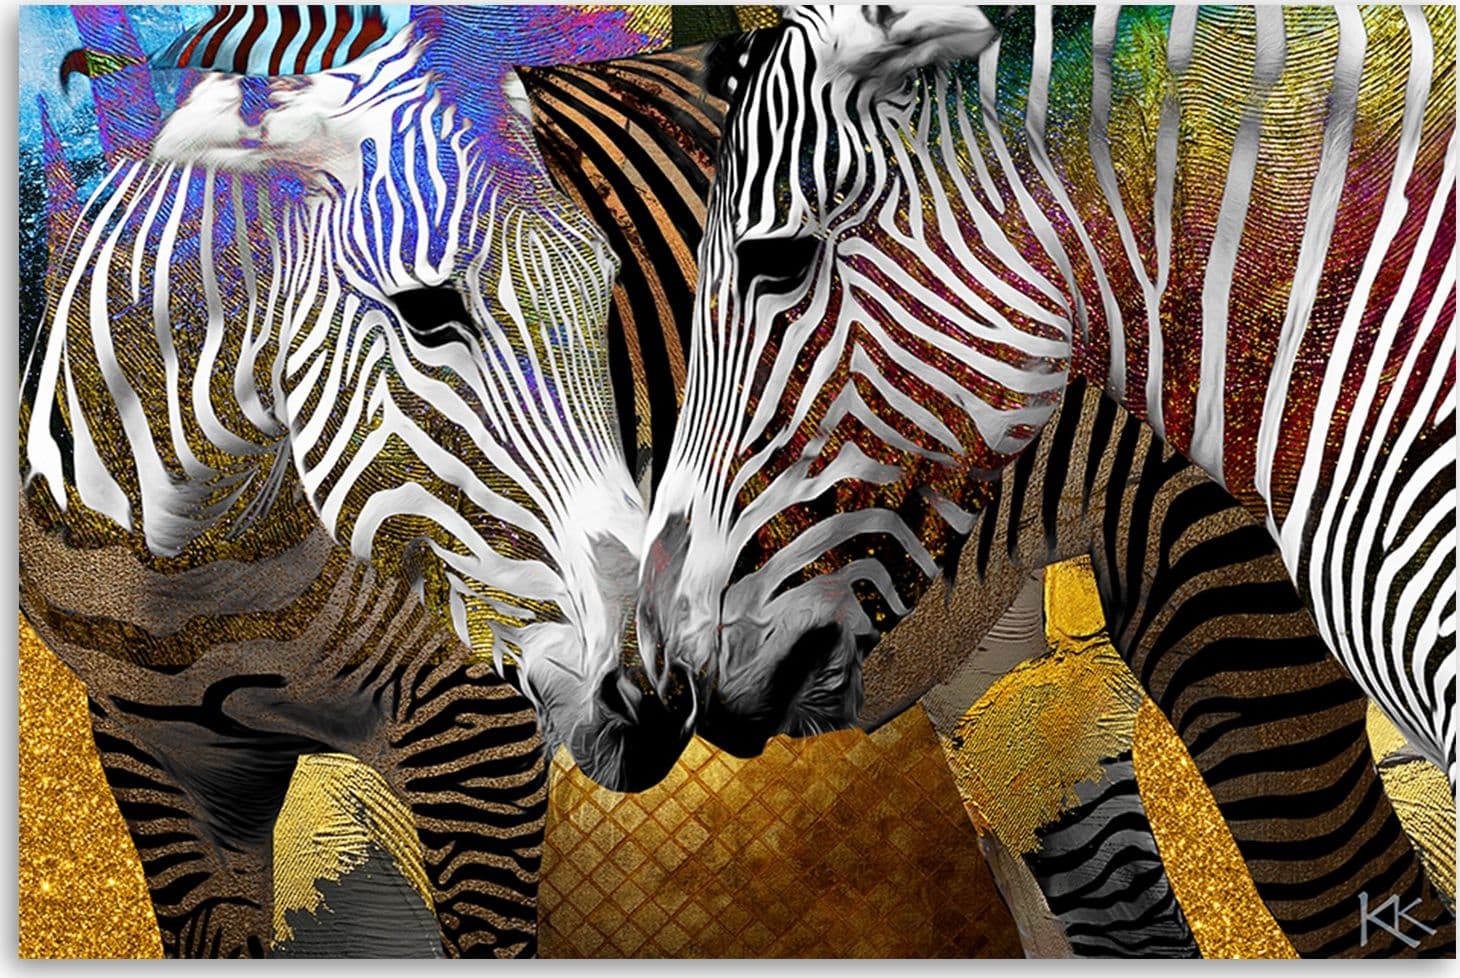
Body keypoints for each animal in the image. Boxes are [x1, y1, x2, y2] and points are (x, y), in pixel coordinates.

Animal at [20, 6, 659, 954]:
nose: (655, 695)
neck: (189, 569)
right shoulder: (151, 752)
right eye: (430, 309)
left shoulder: (479, 729)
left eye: (609, 282)